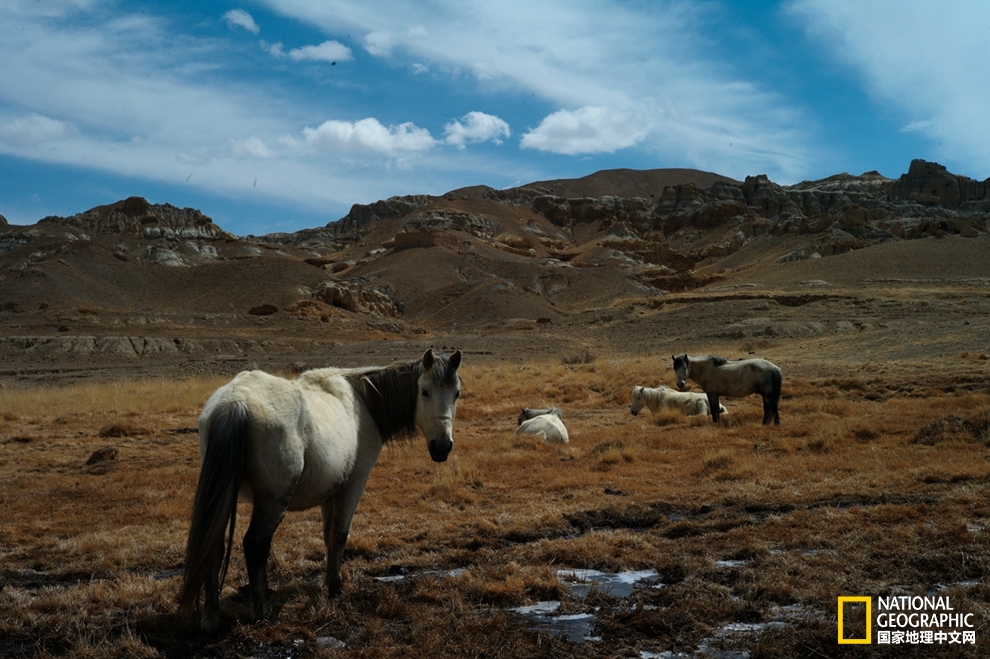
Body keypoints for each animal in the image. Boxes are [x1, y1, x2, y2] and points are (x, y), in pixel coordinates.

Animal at [179, 348, 464, 632]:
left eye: (457, 393)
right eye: (424, 391)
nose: (442, 447)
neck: (363, 401)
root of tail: (235, 402)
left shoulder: (330, 492)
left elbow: (328, 536)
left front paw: (330, 582)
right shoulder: (352, 486)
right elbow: (340, 535)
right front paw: (336, 587)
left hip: (224, 496)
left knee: (213, 547)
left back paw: (211, 617)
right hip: (272, 501)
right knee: (255, 544)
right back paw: (262, 612)